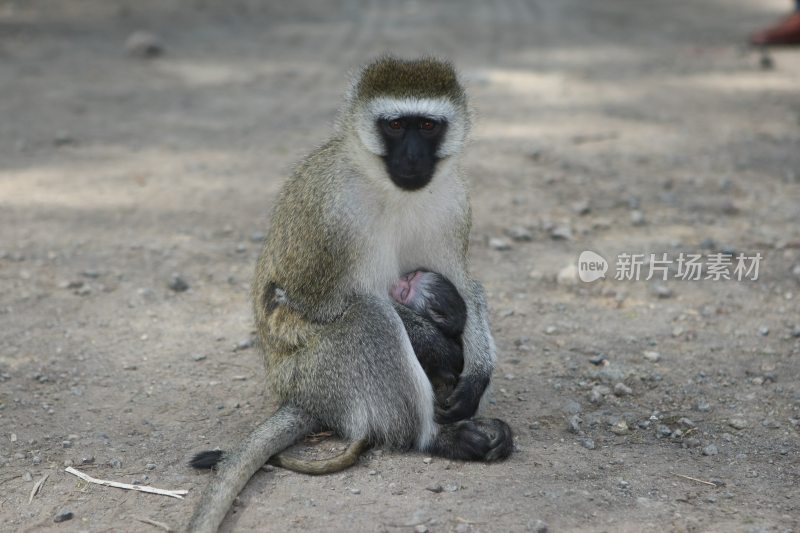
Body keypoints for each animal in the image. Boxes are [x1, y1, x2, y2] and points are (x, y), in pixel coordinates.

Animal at [189, 56, 512, 528]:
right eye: (395, 126)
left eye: (427, 126)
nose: (412, 156)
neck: (388, 189)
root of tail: (294, 394)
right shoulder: (330, 212)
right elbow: (307, 304)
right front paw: (435, 344)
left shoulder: (455, 202)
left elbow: (466, 285)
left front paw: (475, 375)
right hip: (314, 376)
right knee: (369, 318)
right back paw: (433, 439)